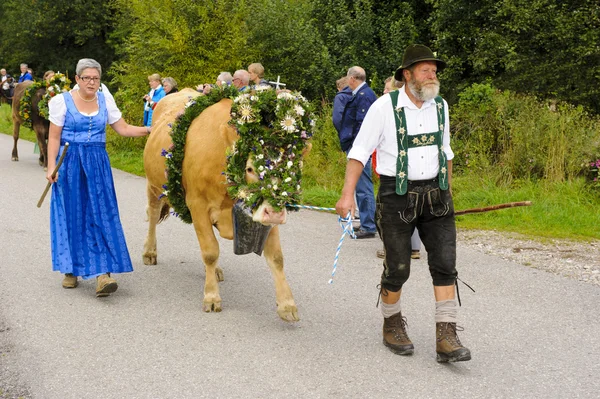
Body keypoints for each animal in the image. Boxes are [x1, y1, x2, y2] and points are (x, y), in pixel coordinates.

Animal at [144, 85, 316, 322]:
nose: (275, 214)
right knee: (153, 215)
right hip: (154, 186)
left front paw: (287, 305)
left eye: (294, 166)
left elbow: (276, 257)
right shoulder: (197, 204)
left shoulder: (262, 211)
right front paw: (212, 297)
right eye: (250, 168)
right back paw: (150, 253)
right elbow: (210, 251)